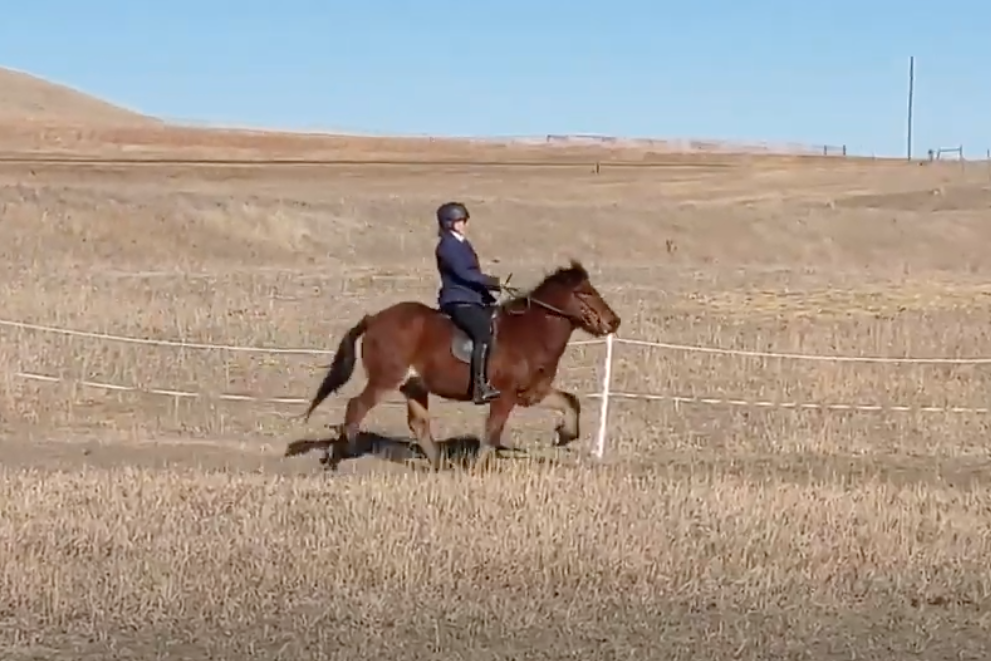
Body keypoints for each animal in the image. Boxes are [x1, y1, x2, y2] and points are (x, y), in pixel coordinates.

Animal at [300, 258, 620, 470]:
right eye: (585, 293)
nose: (614, 321)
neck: (531, 332)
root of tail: (374, 319)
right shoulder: (503, 396)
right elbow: (492, 432)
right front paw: (479, 468)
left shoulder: (532, 393)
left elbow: (570, 402)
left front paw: (565, 436)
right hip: (385, 379)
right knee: (356, 406)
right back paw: (340, 455)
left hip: (414, 385)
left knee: (418, 423)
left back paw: (440, 465)